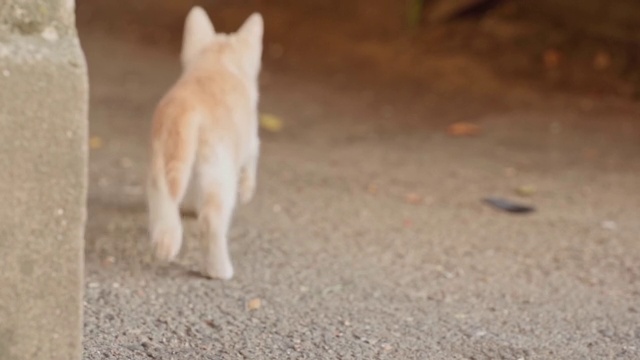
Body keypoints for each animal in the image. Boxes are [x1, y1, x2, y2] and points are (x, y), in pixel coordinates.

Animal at [147, 7, 262, 280]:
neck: (217, 62)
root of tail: (187, 107)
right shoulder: (251, 140)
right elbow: (252, 162)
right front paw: (247, 190)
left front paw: (191, 206)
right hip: (219, 168)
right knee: (211, 219)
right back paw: (219, 270)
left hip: (162, 160)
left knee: (164, 201)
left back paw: (165, 244)